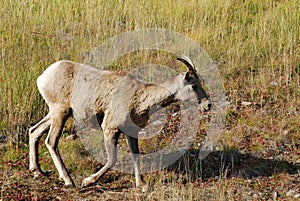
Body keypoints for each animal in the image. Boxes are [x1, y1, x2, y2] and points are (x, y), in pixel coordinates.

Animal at [28, 55, 211, 190]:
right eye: (194, 85)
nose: (208, 105)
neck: (139, 98)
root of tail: (42, 77)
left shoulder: (131, 132)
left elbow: (136, 155)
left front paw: (142, 185)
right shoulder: (110, 129)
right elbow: (112, 160)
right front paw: (87, 181)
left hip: (54, 114)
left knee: (34, 131)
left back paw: (37, 171)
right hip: (60, 113)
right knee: (51, 141)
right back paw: (69, 181)